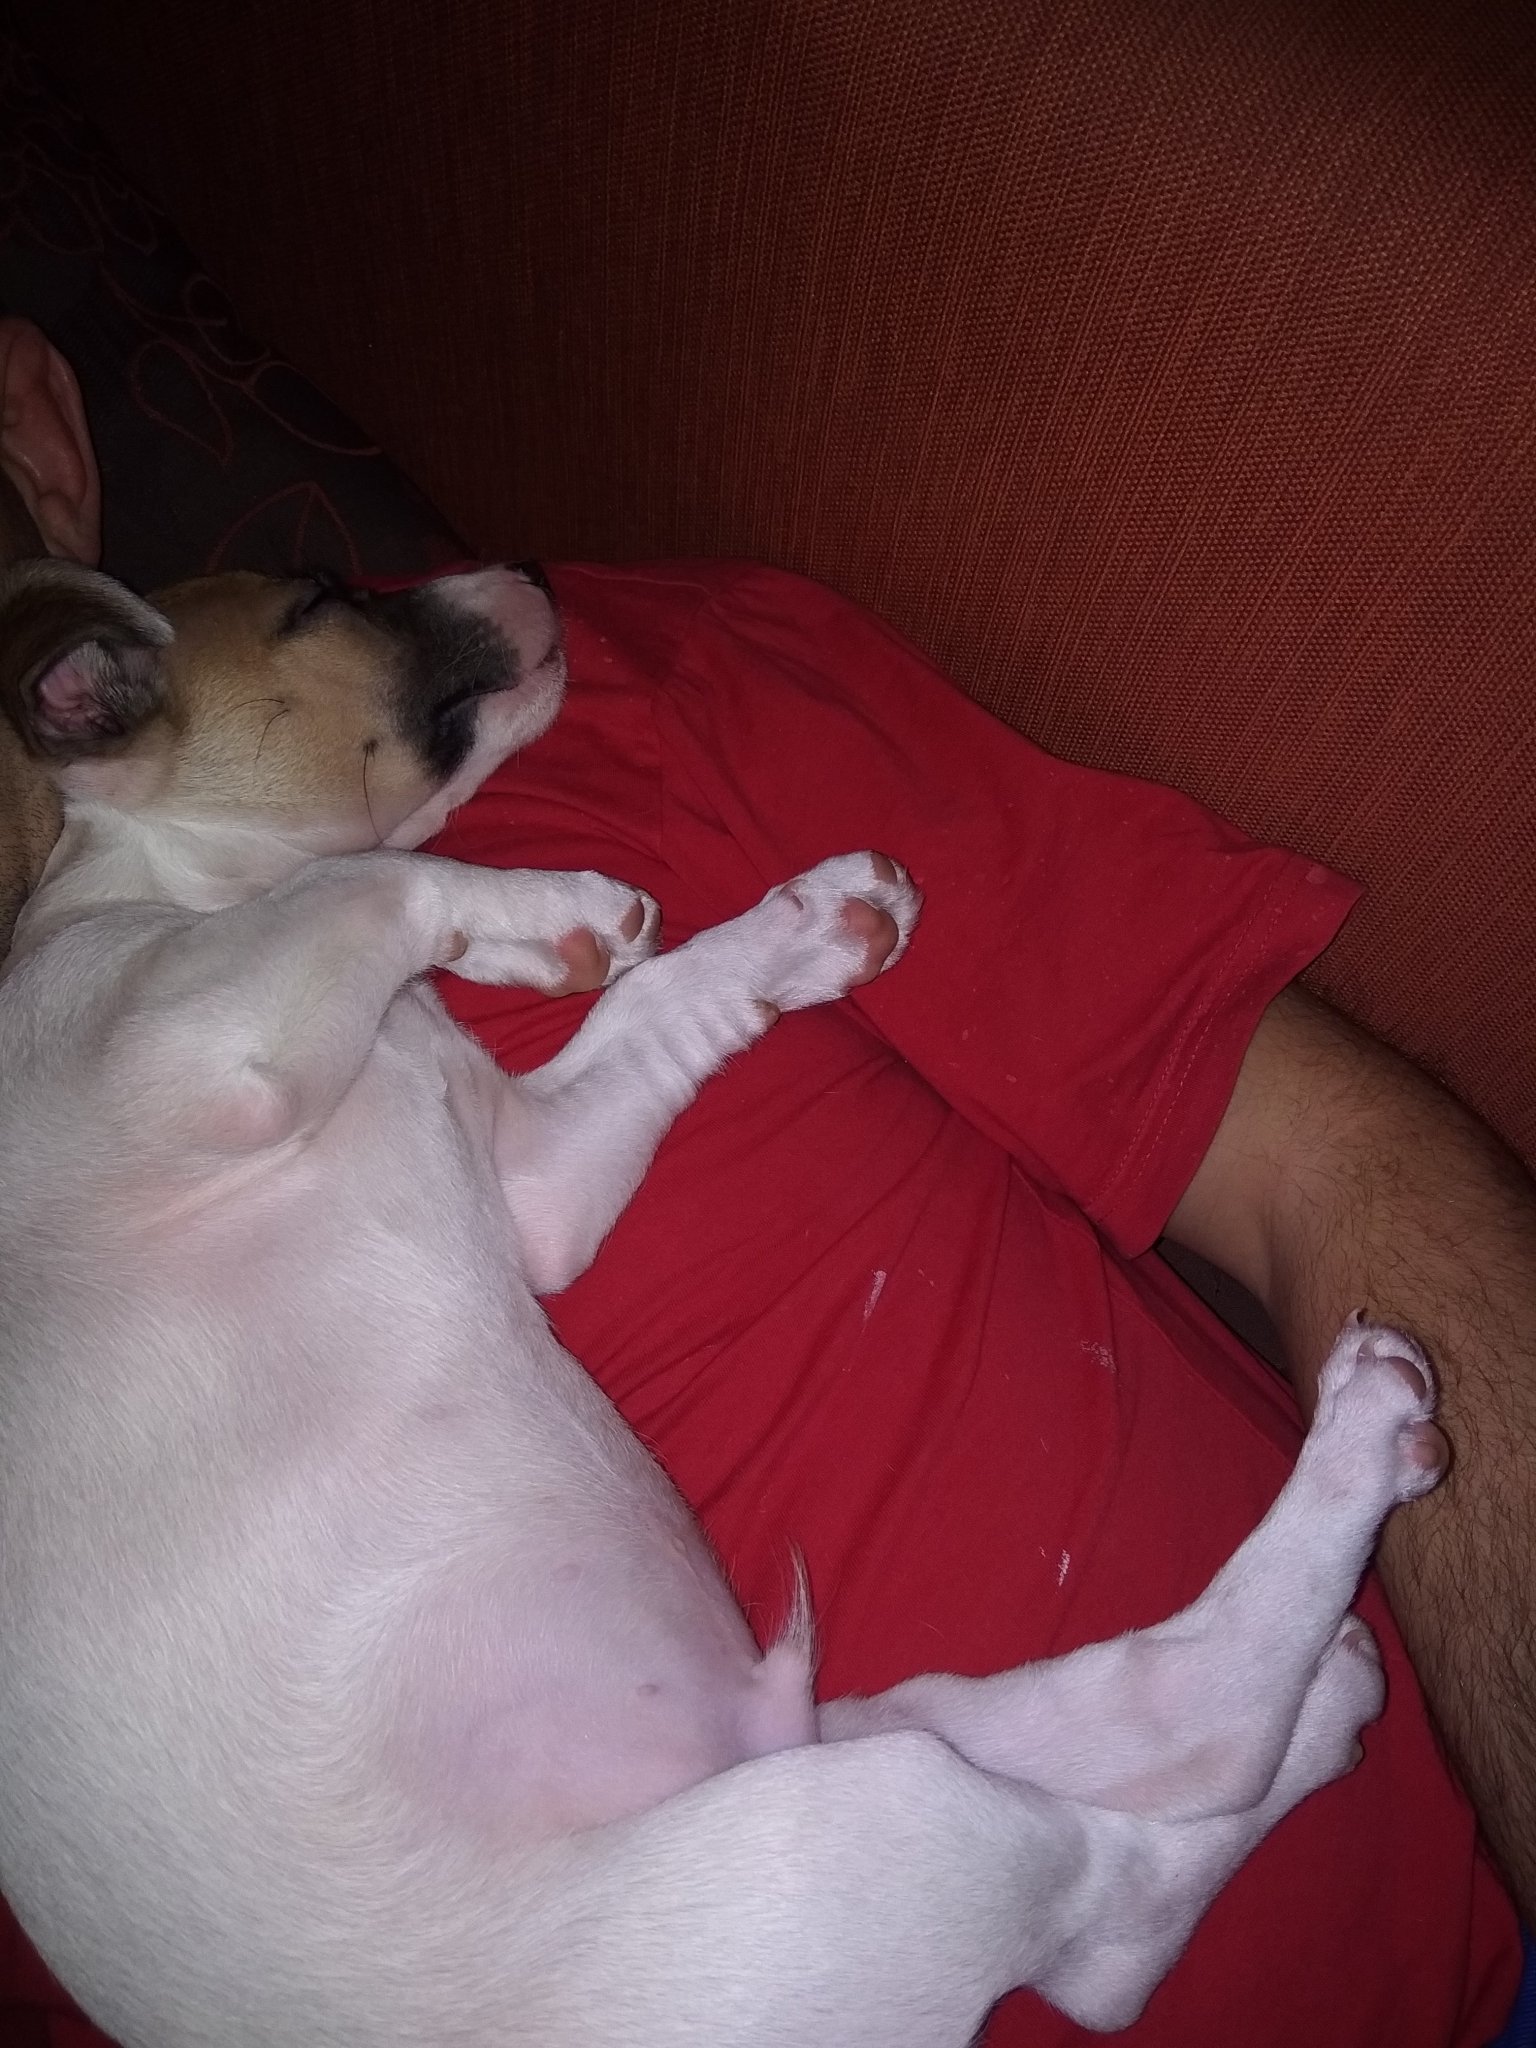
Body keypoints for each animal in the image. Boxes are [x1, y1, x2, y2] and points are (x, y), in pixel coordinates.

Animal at [0, 557, 1448, 2047]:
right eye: (321, 602)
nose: (524, 572)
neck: (172, 894)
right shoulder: (188, 1047)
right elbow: (379, 873)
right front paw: (545, 912)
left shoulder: (532, 1182)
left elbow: (646, 1013)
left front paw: (782, 936)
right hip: (870, 1826)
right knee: (1144, 1841)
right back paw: (1356, 1462)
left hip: (850, 1766)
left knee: (1122, 1810)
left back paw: (1331, 1690)